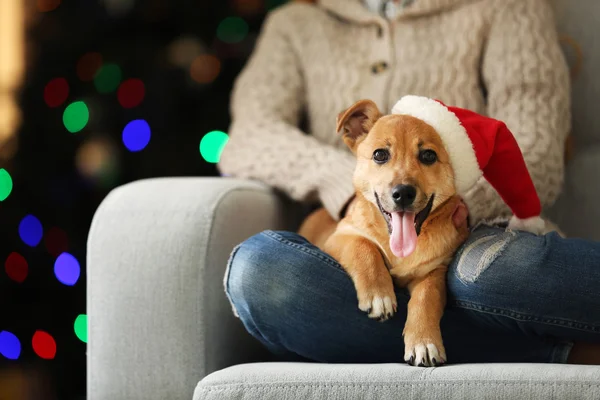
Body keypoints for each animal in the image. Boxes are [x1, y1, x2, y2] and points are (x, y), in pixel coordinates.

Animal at [298, 98, 472, 368]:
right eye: (380, 154)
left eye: (428, 155)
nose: (403, 193)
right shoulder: (339, 237)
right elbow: (364, 247)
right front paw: (379, 295)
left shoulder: (435, 270)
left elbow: (426, 297)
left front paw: (423, 341)